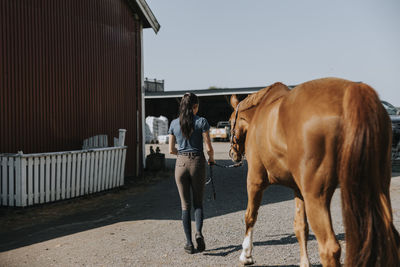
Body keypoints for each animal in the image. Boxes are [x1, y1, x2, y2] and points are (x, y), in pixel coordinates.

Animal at [228, 78, 400, 267]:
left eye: (230, 122)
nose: (233, 154)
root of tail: (353, 91)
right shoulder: (298, 189)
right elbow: (300, 226)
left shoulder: (255, 180)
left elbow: (250, 215)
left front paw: (246, 255)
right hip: (379, 188)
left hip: (316, 196)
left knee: (329, 248)